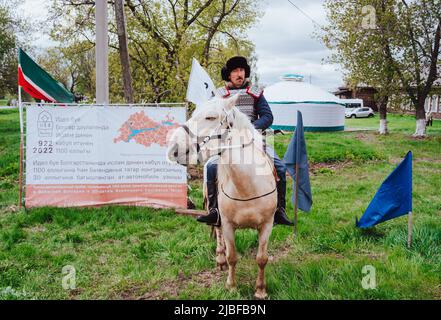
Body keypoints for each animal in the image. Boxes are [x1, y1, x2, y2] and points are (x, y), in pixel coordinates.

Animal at [167, 94, 276, 298]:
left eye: (210, 117)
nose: (173, 150)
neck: (246, 186)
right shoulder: (227, 224)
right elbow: (232, 256)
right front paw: (231, 286)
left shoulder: (267, 224)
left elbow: (262, 258)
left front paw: (260, 290)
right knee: (218, 235)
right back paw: (220, 259)